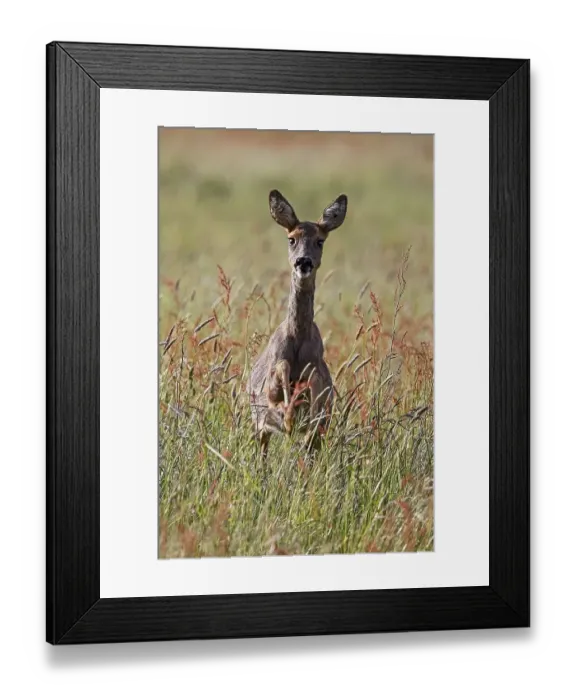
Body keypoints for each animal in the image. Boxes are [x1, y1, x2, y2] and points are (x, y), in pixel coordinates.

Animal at [248, 189, 348, 457]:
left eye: (320, 241)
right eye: (291, 239)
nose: (304, 262)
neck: (297, 339)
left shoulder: (318, 369)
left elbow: (315, 385)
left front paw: (299, 414)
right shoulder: (271, 381)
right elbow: (280, 372)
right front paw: (289, 415)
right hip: (258, 426)